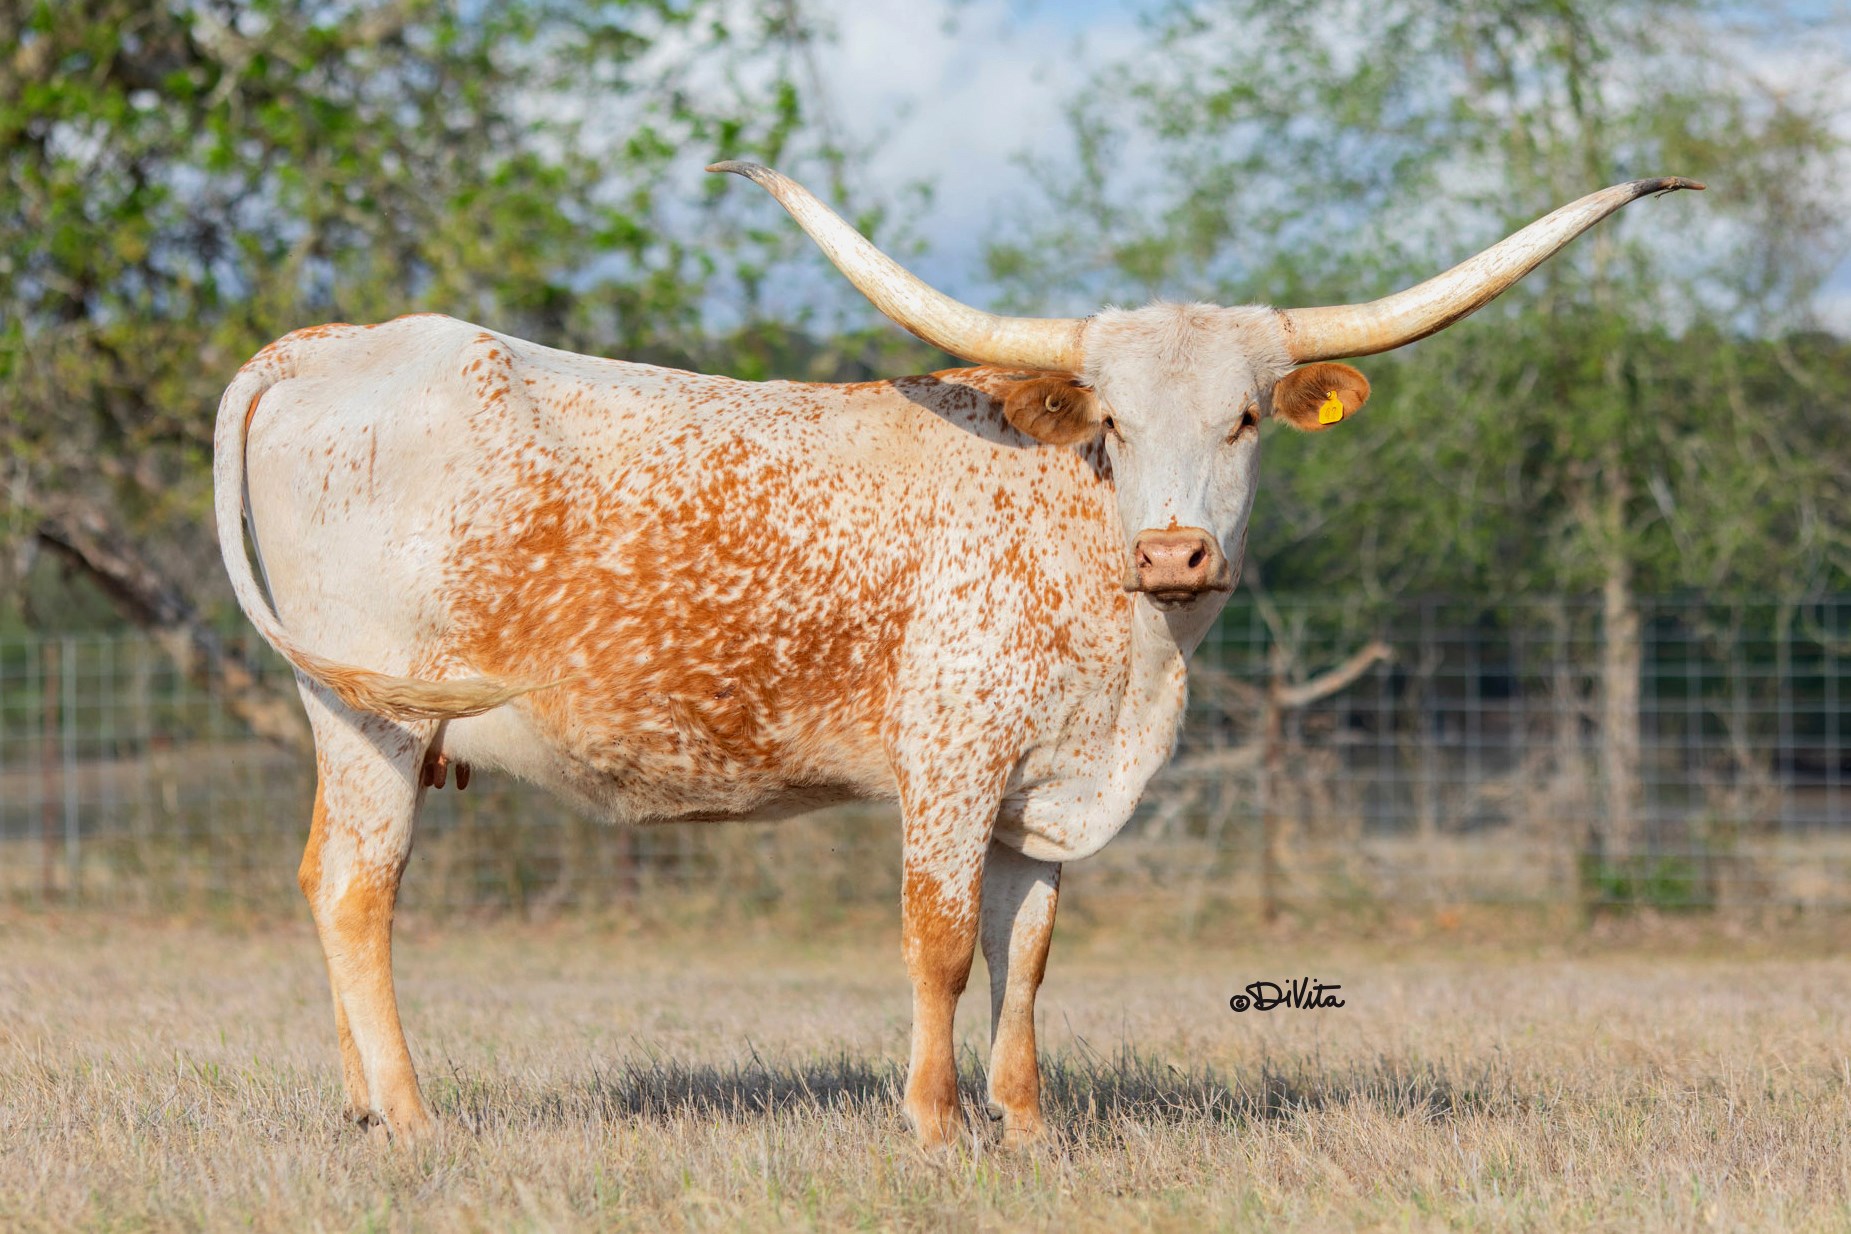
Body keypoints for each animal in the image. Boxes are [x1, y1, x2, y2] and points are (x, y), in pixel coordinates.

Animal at [213, 163, 1700, 1147]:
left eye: (1243, 418)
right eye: (1108, 421)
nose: (1175, 553)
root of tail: (332, 343)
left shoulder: (1044, 796)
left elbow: (1022, 951)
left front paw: (1026, 1121)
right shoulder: (950, 762)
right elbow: (935, 942)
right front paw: (931, 1124)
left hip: (347, 716)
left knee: (319, 880)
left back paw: (360, 1106)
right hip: (375, 714)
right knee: (357, 890)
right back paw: (412, 1115)